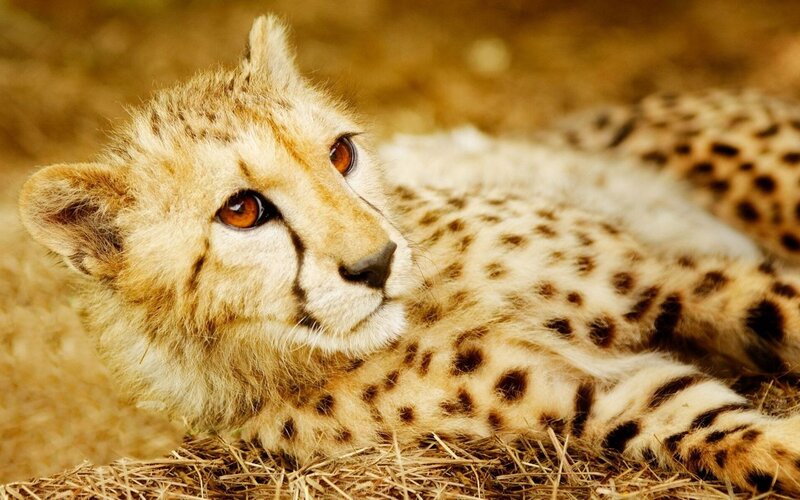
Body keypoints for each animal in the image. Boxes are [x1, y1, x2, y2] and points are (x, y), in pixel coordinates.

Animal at [18, 15, 800, 494]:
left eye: (341, 153)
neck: (431, 307)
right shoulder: (596, 397)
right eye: (242, 211)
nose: (376, 264)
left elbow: (776, 305)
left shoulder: (662, 281)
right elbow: (729, 431)